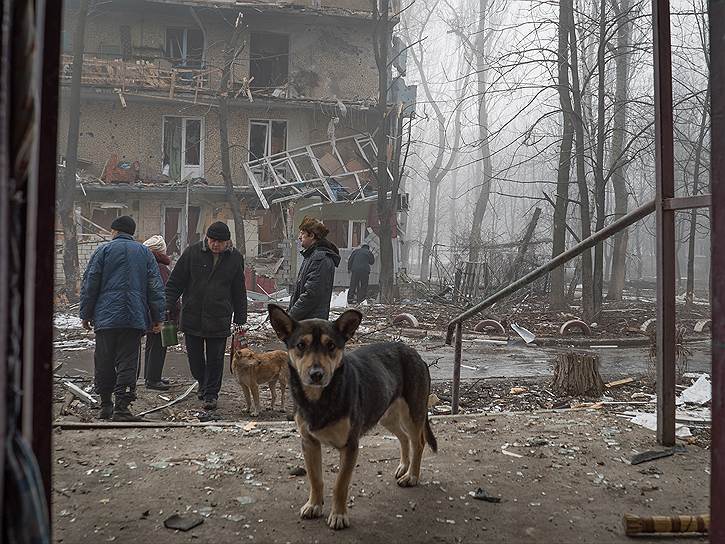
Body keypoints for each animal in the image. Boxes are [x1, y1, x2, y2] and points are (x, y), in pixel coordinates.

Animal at [266, 304, 436, 528]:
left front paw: (338, 515)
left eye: (331, 346)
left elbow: (340, 484)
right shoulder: (309, 443)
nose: (316, 374)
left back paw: (412, 476)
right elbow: (315, 479)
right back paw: (403, 467)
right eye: (301, 345)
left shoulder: (350, 446)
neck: (320, 397)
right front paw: (314, 505)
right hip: (386, 414)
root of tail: (415, 354)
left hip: (413, 413)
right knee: (403, 437)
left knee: (418, 442)